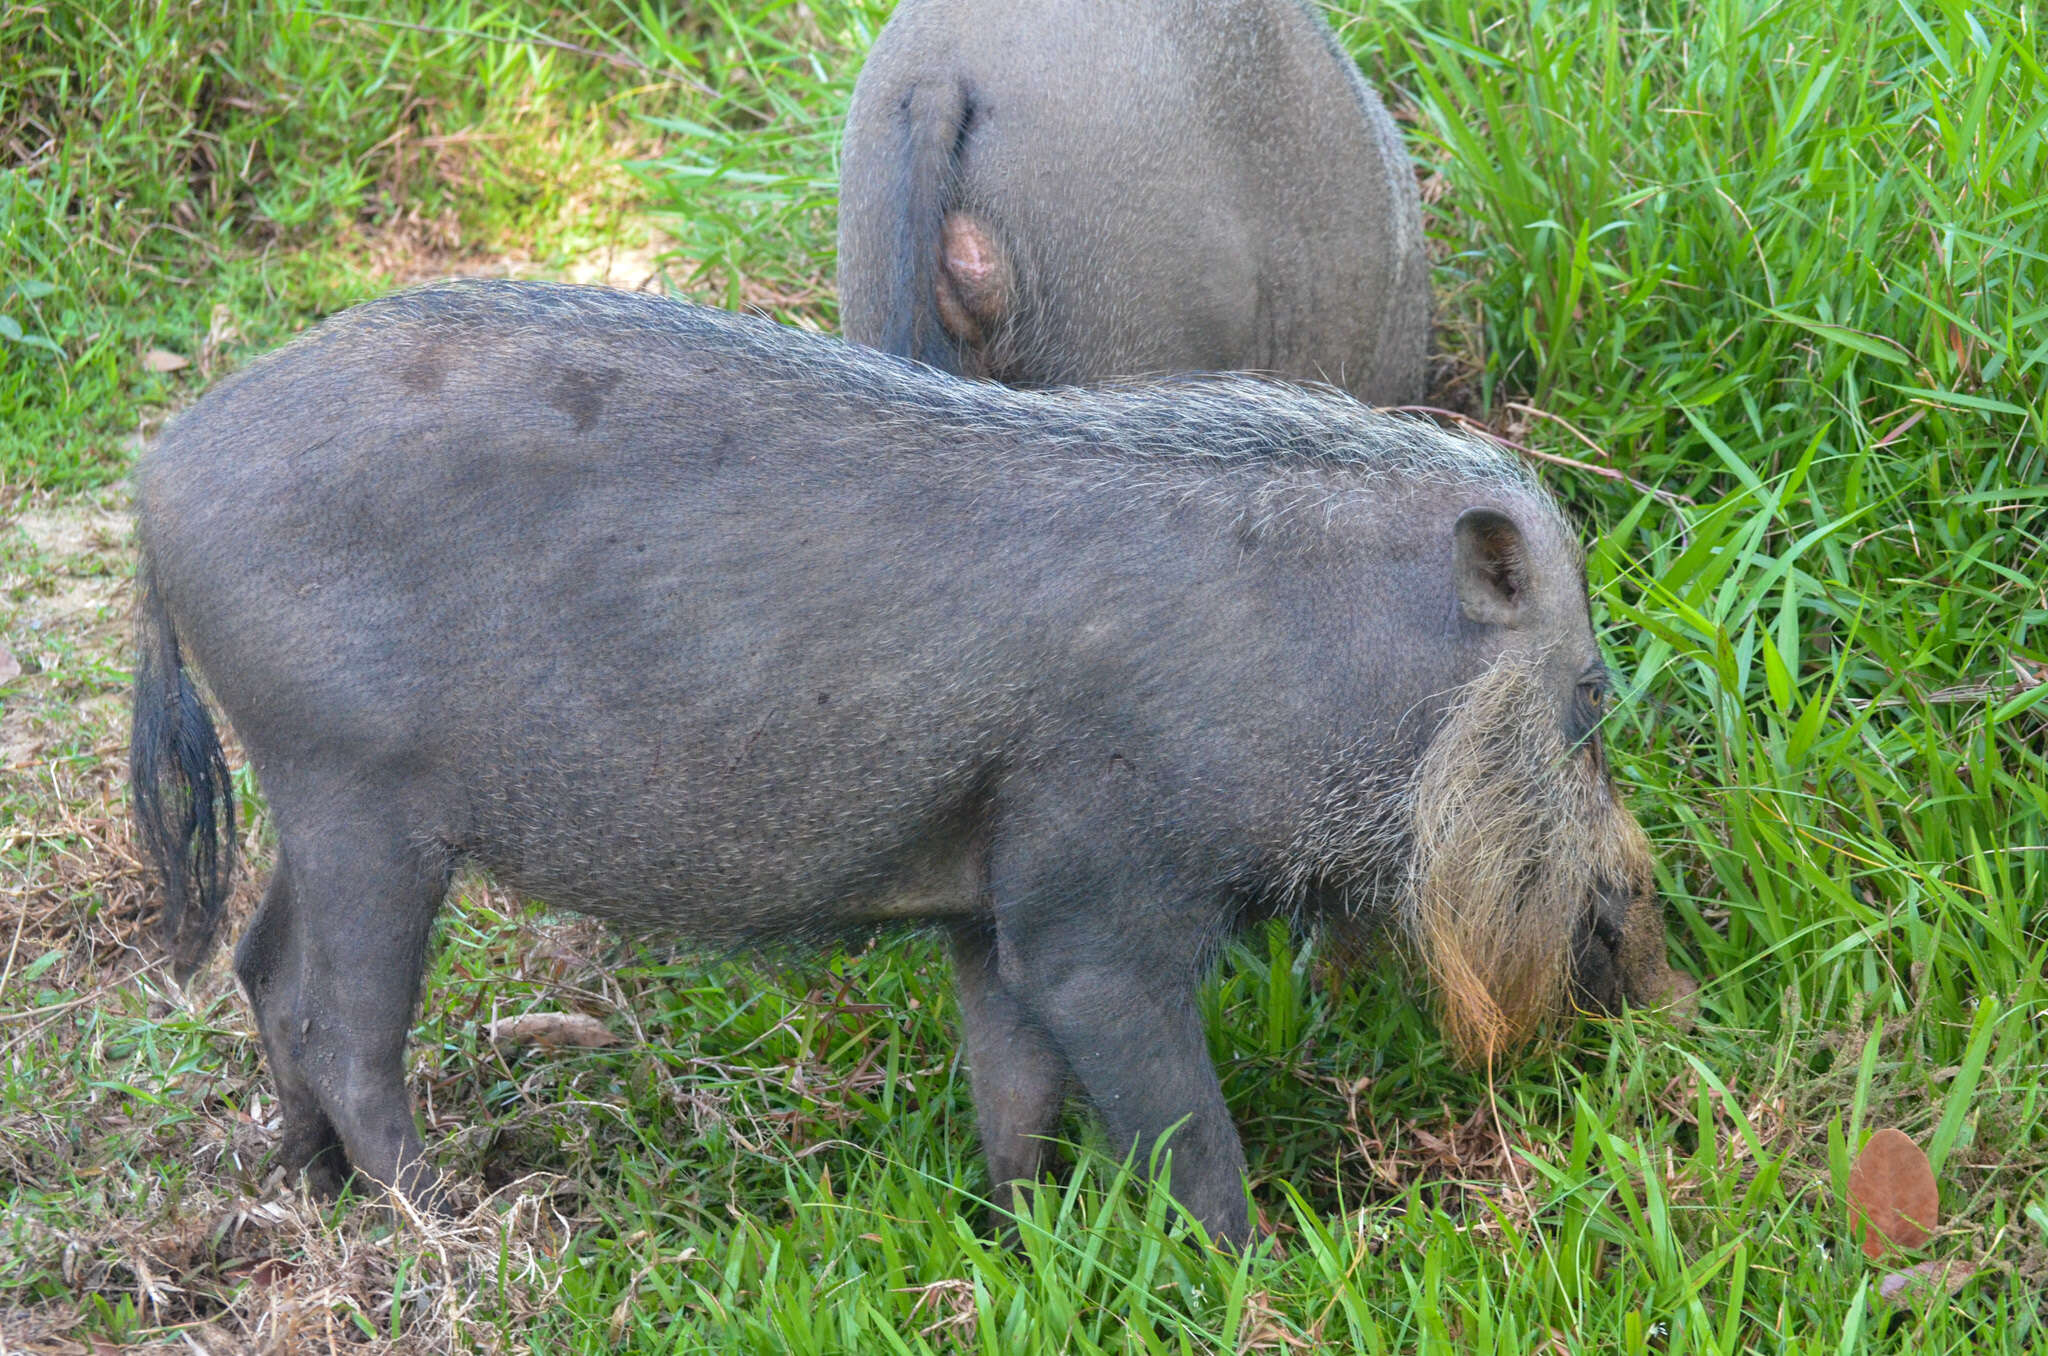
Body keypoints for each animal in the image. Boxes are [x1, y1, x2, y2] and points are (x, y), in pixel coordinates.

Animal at [136, 278, 1687, 1253]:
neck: (1310, 652)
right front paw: (1260, 1272)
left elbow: (1016, 1099)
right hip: (359, 799)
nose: (1666, 983)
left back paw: (313, 1192)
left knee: (263, 971)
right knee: (344, 1027)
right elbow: (1184, 1132)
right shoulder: (1093, 910)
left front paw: (1022, 1245)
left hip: (312, 803)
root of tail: (159, 479)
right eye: (1590, 700)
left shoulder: (989, 911)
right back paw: (458, 1233)